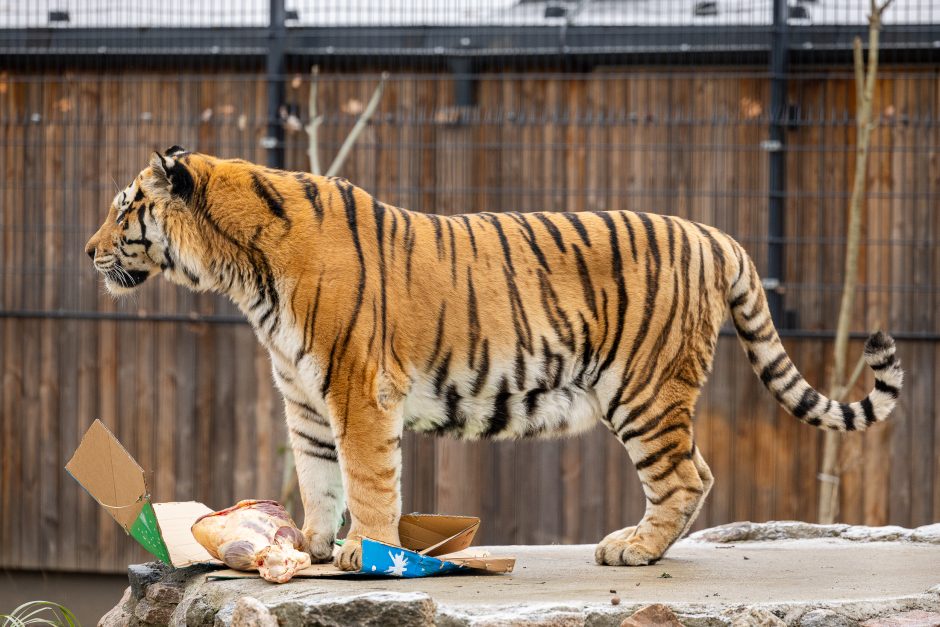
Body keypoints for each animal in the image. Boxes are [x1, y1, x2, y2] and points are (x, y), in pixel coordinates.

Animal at [86, 150, 904, 572]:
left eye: (126, 207)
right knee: (694, 473)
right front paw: (312, 546)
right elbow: (320, 479)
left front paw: (363, 553)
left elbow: (369, 481)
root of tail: (716, 234)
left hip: (644, 391)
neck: (240, 274)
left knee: (686, 476)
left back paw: (633, 550)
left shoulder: (358, 392)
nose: (89, 251)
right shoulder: (306, 399)